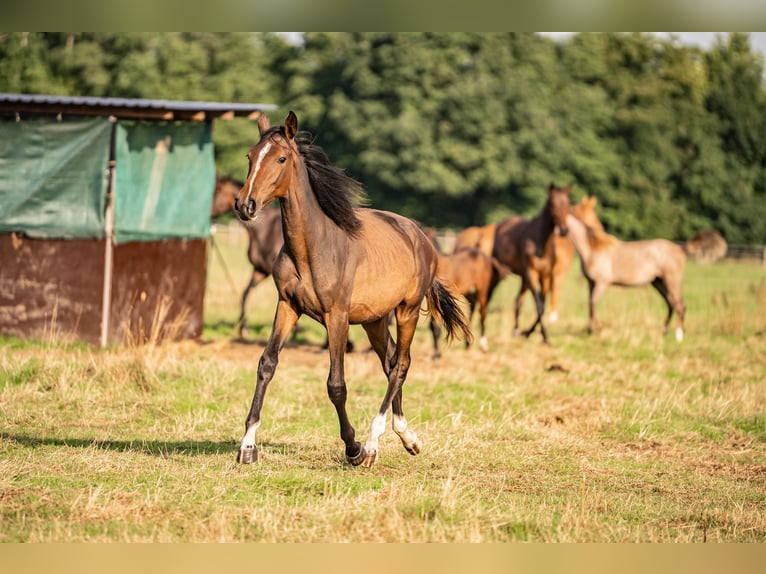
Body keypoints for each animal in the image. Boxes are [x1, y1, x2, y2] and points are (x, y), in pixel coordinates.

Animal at [233, 111, 472, 467]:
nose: (245, 204)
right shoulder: (287, 305)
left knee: (401, 365)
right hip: (375, 320)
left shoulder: (337, 316)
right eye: (250, 156)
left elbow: (336, 384)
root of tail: (421, 236)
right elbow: (267, 364)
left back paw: (373, 443)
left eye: (281, 158)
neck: (314, 247)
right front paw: (248, 446)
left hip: (407, 310)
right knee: (390, 362)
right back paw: (407, 437)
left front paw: (353, 447)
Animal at [491, 183, 572, 344]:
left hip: (524, 278)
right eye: (552, 204)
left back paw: (516, 330)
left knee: (518, 300)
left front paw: (529, 333)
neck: (541, 243)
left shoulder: (545, 276)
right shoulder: (532, 273)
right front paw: (544, 336)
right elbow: (539, 306)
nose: (564, 230)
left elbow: (542, 306)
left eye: (568, 203)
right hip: (503, 271)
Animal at [566, 196, 687, 342]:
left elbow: (593, 302)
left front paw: (597, 329)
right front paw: (591, 329)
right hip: (658, 282)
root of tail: (679, 249)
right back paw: (664, 331)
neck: (593, 249)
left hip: (672, 281)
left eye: (574, 209)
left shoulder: (602, 282)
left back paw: (679, 335)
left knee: (680, 305)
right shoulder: (591, 282)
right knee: (670, 303)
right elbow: (590, 303)